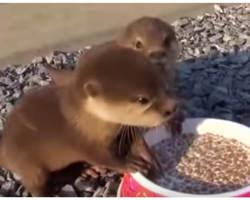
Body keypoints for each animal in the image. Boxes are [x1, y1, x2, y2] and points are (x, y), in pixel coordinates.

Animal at [0, 44, 178, 197]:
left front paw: (149, 155)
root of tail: (5, 148)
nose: (172, 107)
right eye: (142, 99)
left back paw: (88, 170)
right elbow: (105, 158)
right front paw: (131, 164)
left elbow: (135, 138)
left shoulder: (122, 128)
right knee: (34, 183)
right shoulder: (83, 143)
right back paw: (51, 193)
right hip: (27, 162)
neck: (87, 123)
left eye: (161, 84)